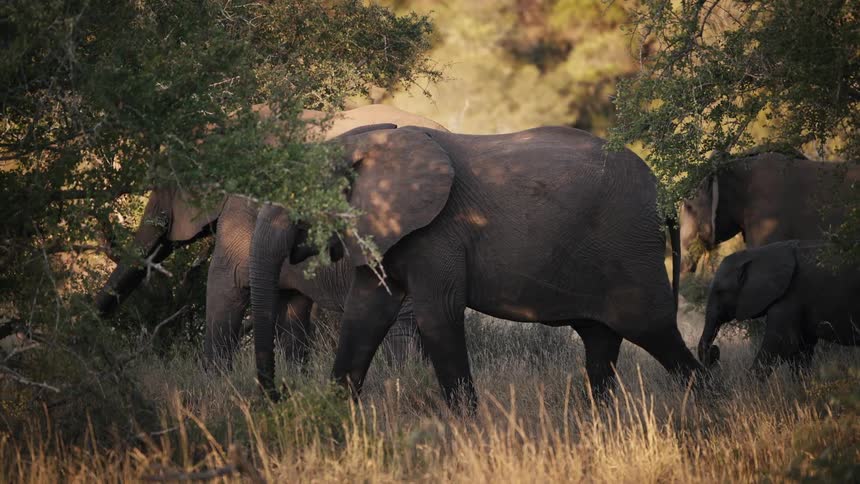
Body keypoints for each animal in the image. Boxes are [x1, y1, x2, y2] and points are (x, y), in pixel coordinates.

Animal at [250, 124, 701, 409]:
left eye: (297, 194)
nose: (279, 394)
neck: (360, 144)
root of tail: (664, 193)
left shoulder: (437, 233)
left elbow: (438, 314)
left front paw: (466, 427)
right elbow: (364, 316)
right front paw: (334, 414)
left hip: (631, 248)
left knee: (653, 329)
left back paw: (708, 409)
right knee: (600, 342)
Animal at [698, 240, 859, 373]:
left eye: (720, 292)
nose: (714, 350)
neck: (756, 255)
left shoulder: (791, 296)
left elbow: (782, 344)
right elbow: (801, 350)